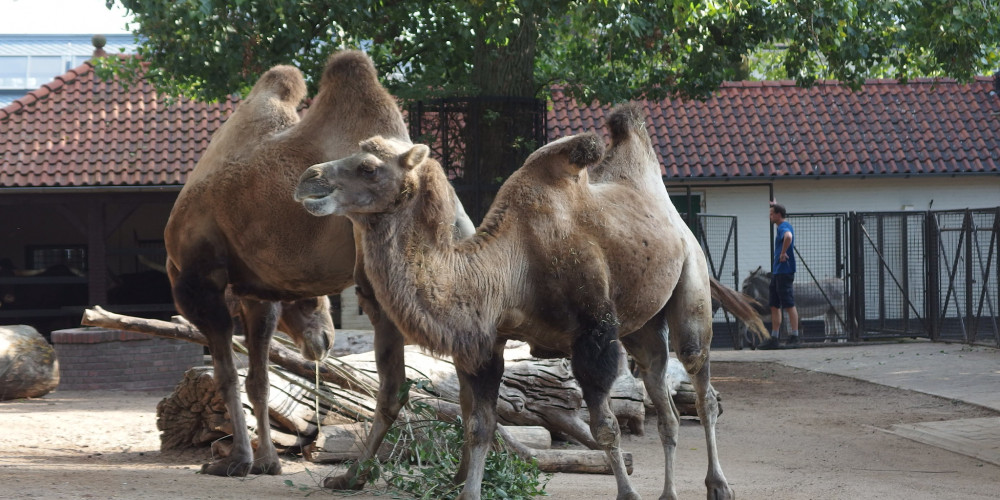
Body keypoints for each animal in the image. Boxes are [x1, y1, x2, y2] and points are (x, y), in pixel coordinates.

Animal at [164, 49, 476, 476]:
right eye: (311, 301)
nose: (325, 340)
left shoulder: (199, 282)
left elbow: (227, 376)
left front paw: (237, 461)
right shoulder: (257, 292)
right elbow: (257, 380)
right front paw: (266, 462)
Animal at [294, 102, 764, 500]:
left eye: (368, 167)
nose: (308, 178)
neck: (508, 269)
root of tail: (679, 223)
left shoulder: (594, 332)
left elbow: (605, 427)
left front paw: (628, 494)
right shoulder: (487, 342)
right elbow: (479, 426)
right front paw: (468, 491)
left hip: (691, 281)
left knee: (702, 386)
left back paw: (718, 485)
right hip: (641, 326)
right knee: (662, 397)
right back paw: (668, 493)